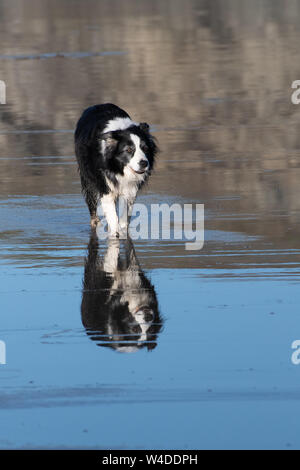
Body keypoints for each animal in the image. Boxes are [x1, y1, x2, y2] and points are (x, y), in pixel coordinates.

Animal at [74, 103, 157, 235]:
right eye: (128, 150)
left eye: (145, 148)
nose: (144, 163)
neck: (118, 167)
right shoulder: (104, 183)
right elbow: (113, 218)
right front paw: (114, 234)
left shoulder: (130, 189)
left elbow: (124, 217)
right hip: (87, 177)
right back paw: (95, 222)